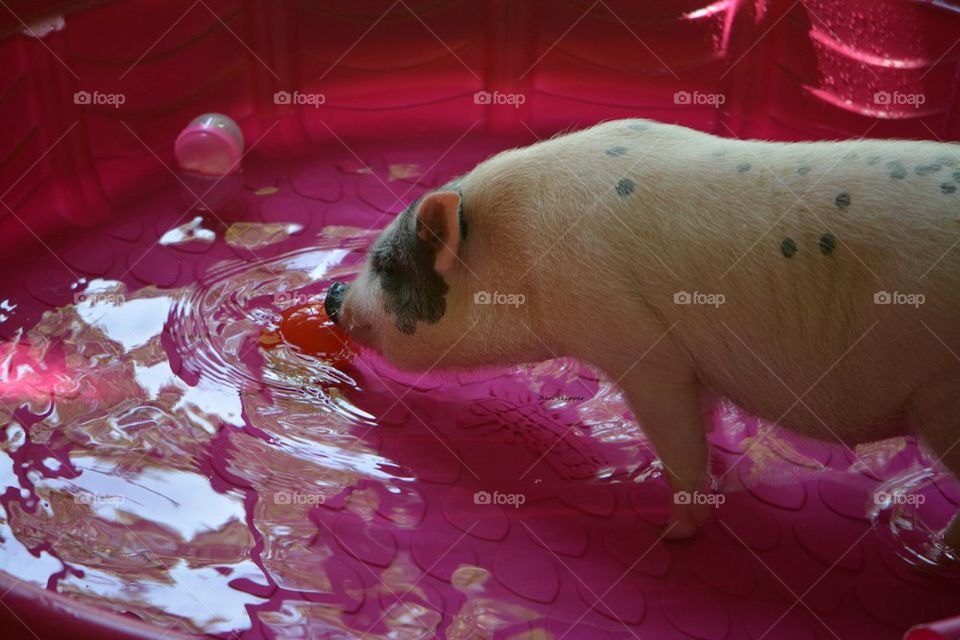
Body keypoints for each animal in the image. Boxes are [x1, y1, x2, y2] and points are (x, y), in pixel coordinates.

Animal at [325, 119, 960, 545]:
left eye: (387, 266)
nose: (331, 297)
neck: (519, 253)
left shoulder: (637, 340)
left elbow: (676, 432)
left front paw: (670, 532)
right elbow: (705, 419)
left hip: (942, 404)